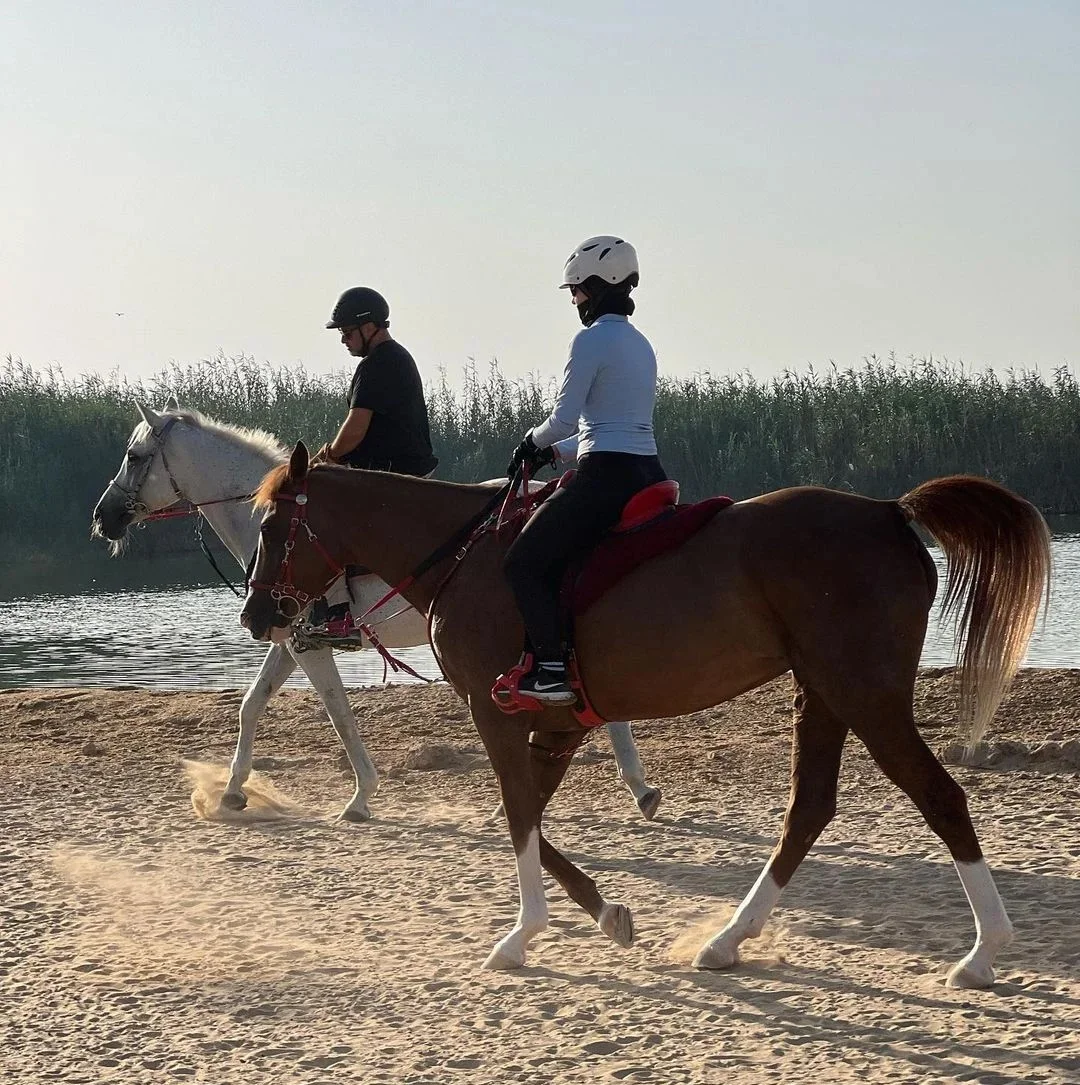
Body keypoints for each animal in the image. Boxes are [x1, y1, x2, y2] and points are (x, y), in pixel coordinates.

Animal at [90, 400, 660, 821]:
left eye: (135, 456)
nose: (103, 517)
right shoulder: (289, 641)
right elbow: (251, 705)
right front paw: (233, 790)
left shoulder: (307, 644)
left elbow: (338, 713)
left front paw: (361, 796)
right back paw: (636, 787)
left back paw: (634, 787)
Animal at [241, 443, 1050, 988]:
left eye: (272, 529)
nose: (254, 615)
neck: (466, 559)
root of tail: (887, 512)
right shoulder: (557, 725)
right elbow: (525, 814)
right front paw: (604, 913)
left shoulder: (497, 715)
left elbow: (516, 815)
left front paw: (523, 934)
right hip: (823, 693)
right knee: (810, 809)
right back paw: (727, 940)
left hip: (864, 693)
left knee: (938, 796)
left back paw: (984, 951)